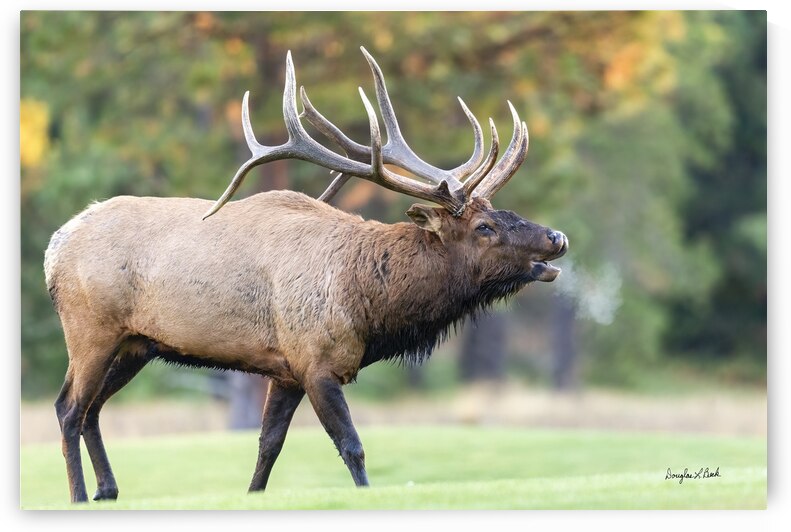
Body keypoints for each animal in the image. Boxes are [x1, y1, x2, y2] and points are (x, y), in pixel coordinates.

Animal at [44, 47, 568, 503]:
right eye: (485, 227)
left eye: (502, 211)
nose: (557, 236)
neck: (369, 307)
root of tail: (55, 247)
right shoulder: (316, 360)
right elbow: (352, 446)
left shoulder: (286, 369)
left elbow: (267, 448)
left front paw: (253, 496)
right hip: (91, 329)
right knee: (69, 407)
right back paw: (79, 495)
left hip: (136, 343)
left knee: (92, 408)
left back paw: (108, 490)